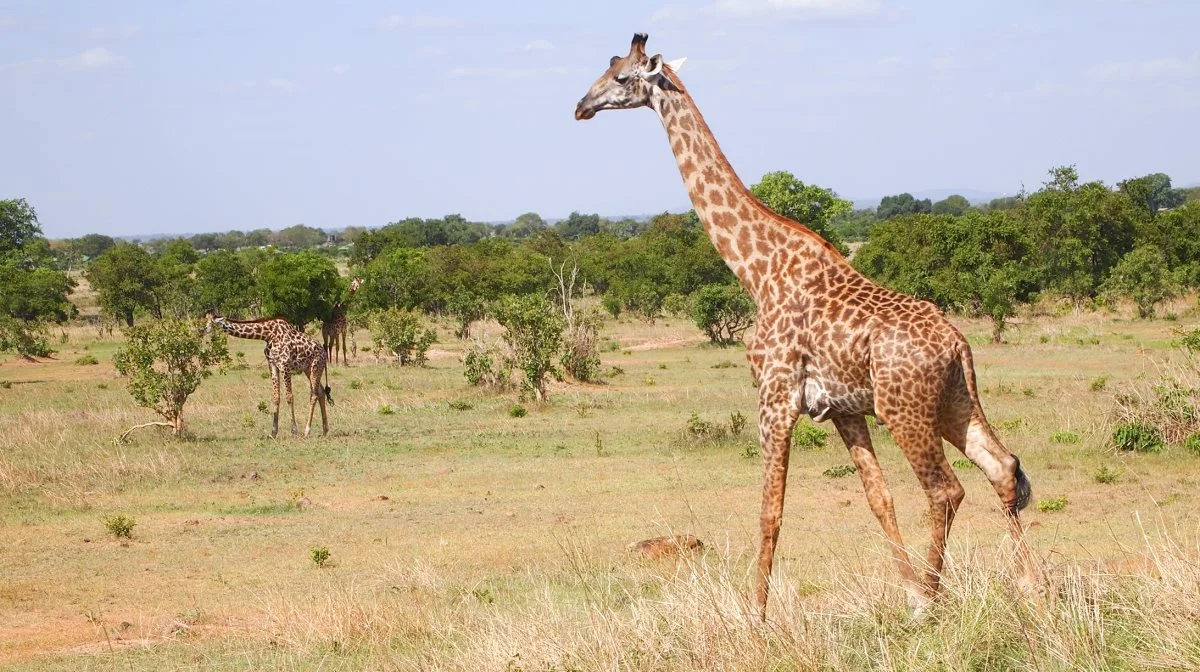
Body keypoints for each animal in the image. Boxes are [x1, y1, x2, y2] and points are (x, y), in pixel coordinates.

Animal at [573, 32, 1041, 619]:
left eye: (620, 77)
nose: (581, 106)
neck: (756, 268)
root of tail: (958, 344)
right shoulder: (841, 408)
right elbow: (878, 498)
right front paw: (906, 589)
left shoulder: (774, 398)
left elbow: (769, 510)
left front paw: (756, 616)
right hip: (955, 401)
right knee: (1003, 467)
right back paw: (1029, 589)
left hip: (905, 410)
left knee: (945, 490)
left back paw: (935, 602)